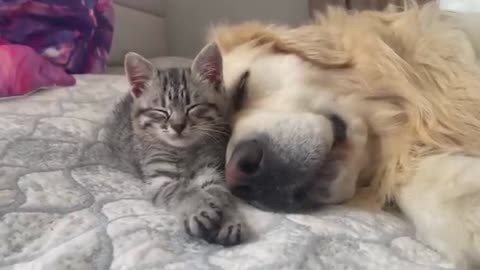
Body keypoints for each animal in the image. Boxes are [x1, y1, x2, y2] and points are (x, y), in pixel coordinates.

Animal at [105, 43, 248, 245]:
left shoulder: (211, 171)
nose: (178, 125)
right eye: (161, 111)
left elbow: (221, 193)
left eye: (193, 107)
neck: (184, 151)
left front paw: (229, 219)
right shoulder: (159, 179)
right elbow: (181, 189)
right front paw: (198, 207)